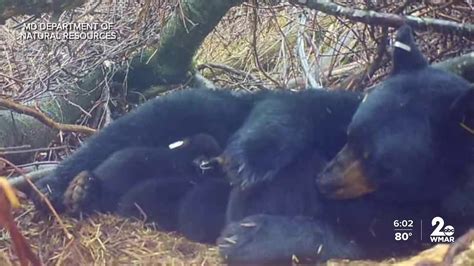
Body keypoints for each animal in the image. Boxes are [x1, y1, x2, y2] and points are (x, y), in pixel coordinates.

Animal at [217, 25, 472, 264]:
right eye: (351, 136)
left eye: (380, 164)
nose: (323, 181)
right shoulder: (351, 109)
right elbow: (308, 105)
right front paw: (248, 160)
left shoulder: (443, 215)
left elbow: (363, 237)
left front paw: (246, 237)